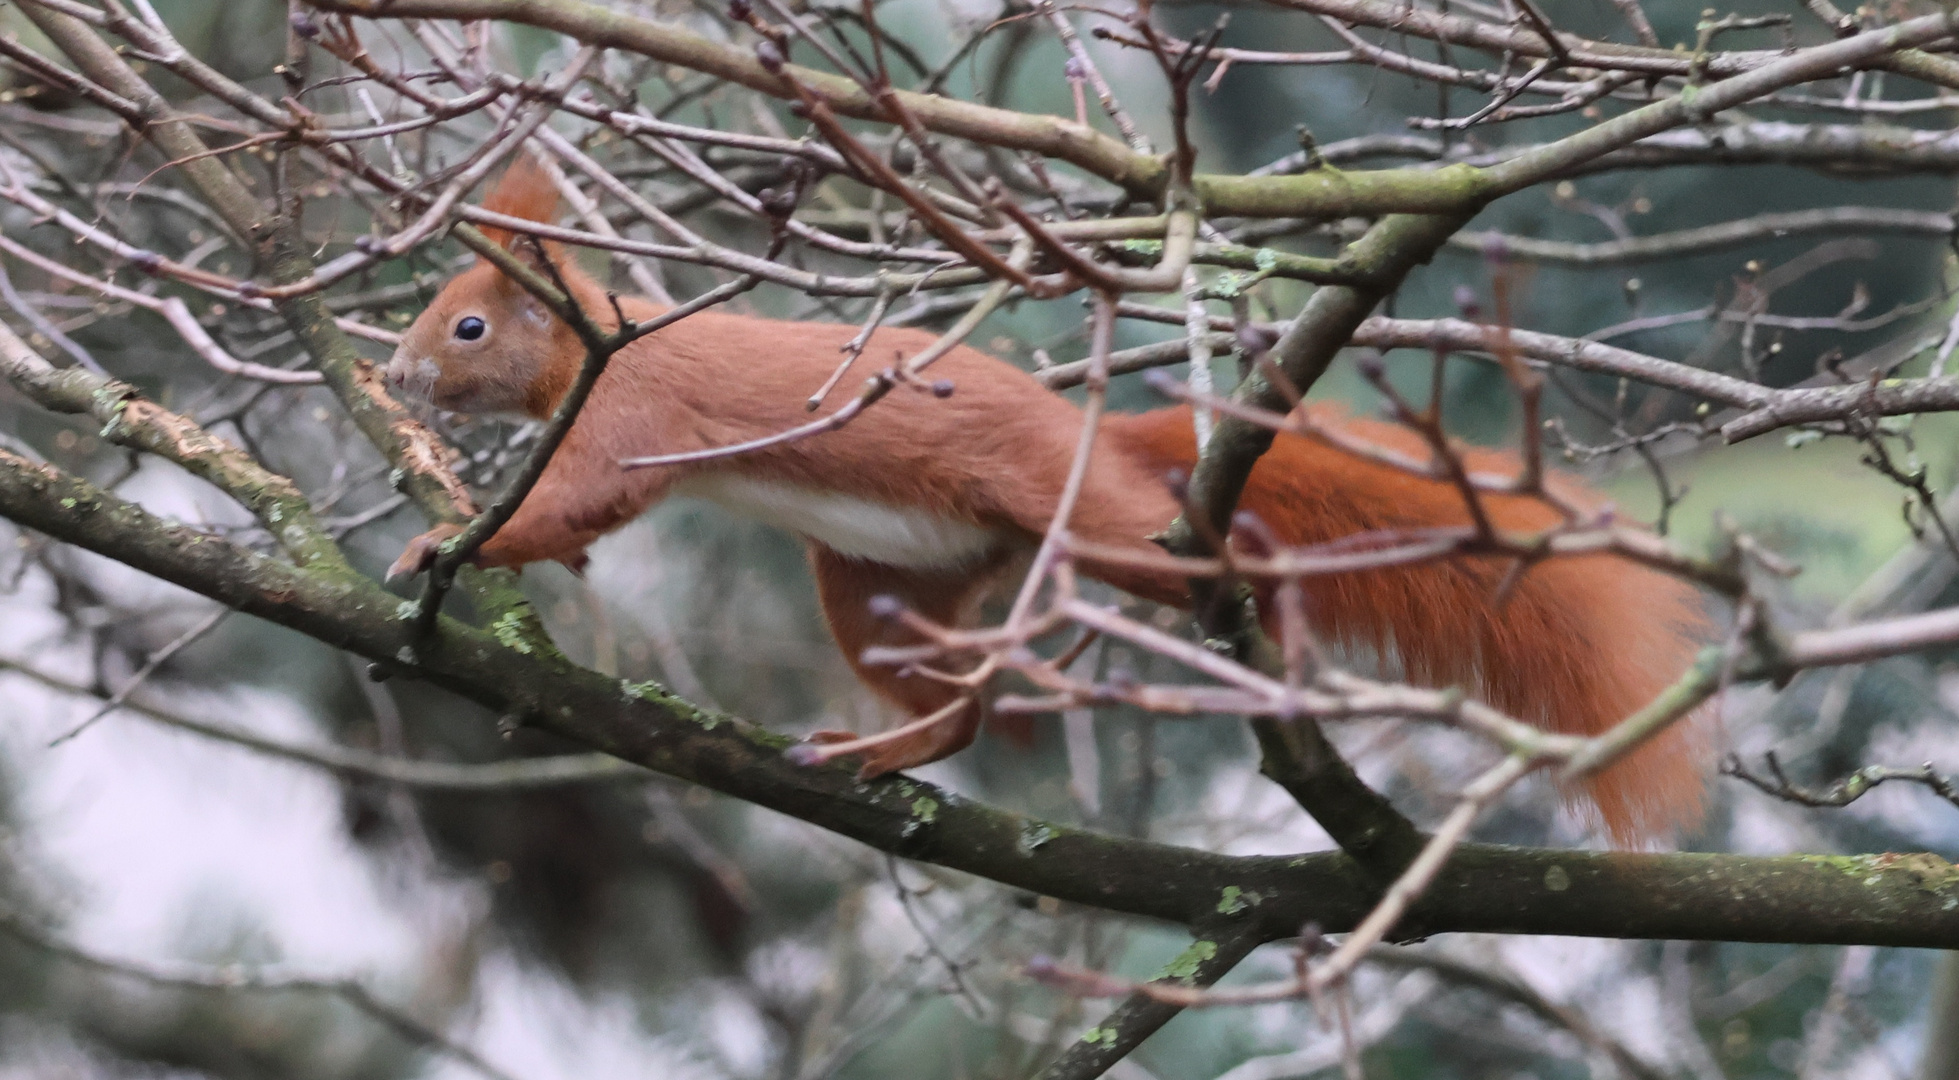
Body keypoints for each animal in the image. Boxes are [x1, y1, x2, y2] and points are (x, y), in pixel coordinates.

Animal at [389, 160, 1708, 846]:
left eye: (467, 325)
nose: (396, 377)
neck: (596, 348)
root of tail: (1083, 435)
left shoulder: (633, 413)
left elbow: (576, 503)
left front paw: (447, 541)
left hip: (1076, 513)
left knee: (1189, 563)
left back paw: (1266, 615)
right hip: (888, 584)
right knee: (962, 707)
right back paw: (885, 747)